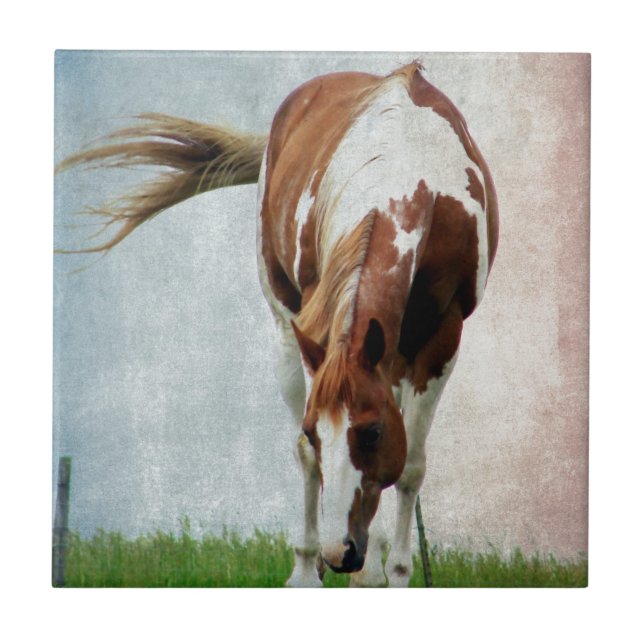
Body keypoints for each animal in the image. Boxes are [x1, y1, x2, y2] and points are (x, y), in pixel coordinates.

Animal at [57, 60, 498, 587]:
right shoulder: (319, 334)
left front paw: (395, 572)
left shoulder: (442, 339)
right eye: (314, 430)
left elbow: (410, 466)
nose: (339, 552)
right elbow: (309, 455)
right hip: (289, 329)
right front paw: (315, 569)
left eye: (371, 432)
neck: (404, 177)